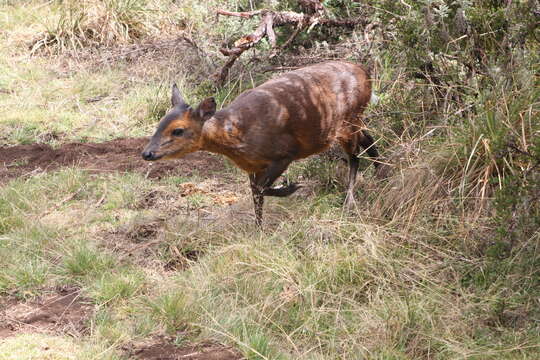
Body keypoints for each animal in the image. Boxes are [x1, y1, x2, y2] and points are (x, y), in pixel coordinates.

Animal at [143, 61, 380, 225]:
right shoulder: (252, 166)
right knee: (368, 140)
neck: (237, 137)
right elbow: (256, 195)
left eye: (178, 130)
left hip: (349, 120)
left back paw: (350, 202)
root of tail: (365, 72)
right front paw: (258, 229)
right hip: (352, 122)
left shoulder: (285, 153)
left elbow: (261, 190)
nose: (147, 153)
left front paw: (291, 187)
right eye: (159, 123)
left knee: (355, 157)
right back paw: (380, 174)